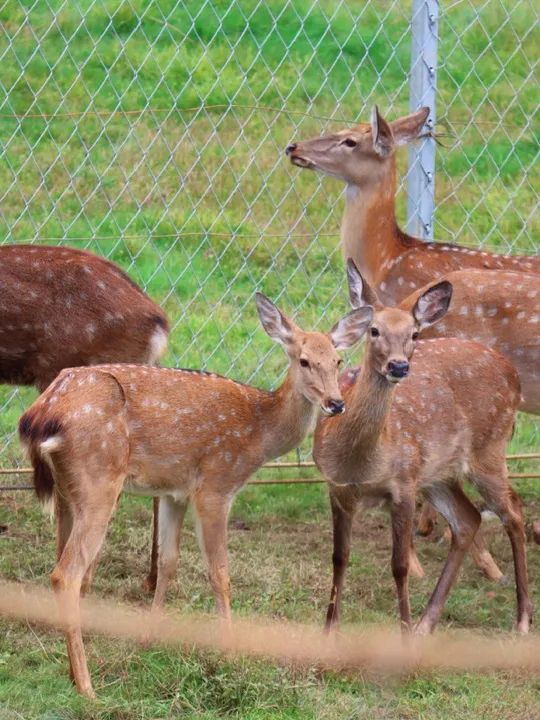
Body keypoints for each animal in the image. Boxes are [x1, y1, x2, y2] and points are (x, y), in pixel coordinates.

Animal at [19, 290, 370, 696]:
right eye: (304, 360)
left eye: (338, 359)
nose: (336, 403)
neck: (259, 432)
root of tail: (40, 414)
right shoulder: (215, 485)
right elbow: (219, 571)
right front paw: (231, 654)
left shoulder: (176, 492)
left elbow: (169, 562)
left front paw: (148, 638)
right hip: (99, 480)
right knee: (67, 574)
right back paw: (88, 688)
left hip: (66, 490)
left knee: (62, 565)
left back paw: (71, 673)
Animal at [314, 258, 528, 636]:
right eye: (373, 330)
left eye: (414, 334)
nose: (399, 365)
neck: (360, 460)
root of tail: (511, 371)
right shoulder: (338, 489)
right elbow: (339, 558)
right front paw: (328, 632)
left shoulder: (402, 484)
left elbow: (399, 565)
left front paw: (402, 632)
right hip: (438, 475)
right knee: (468, 519)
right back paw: (427, 623)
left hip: (488, 450)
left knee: (513, 512)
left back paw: (523, 619)